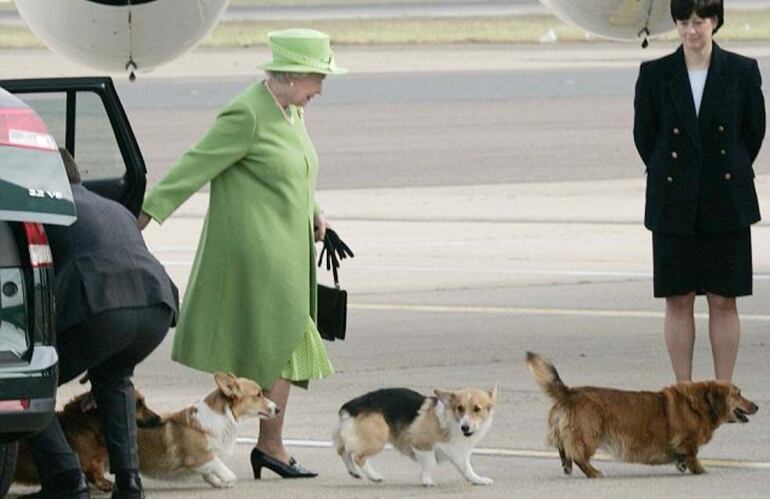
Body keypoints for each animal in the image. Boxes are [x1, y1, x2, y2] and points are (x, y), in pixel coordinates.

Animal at [136, 376, 278, 488]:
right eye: (258, 395)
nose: (278, 409)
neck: (225, 416)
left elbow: (209, 474)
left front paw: (219, 482)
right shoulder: (197, 456)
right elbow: (217, 462)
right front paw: (229, 477)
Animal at [332, 386, 496, 488]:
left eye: (477, 409)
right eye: (460, 408)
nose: (465, 427)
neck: (451, 422)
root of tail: (350, 406)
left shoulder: (459, 454)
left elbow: (467, 469)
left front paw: (478, 480)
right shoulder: (421, 444)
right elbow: (430, 463)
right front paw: (426, 481)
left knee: (344, 451)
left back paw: (354, 472)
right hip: (378, 439)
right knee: (358, 456)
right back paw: (374, 476)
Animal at [520, 350, 756, 478]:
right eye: (738, 394)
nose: (757, 407)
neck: (698, 404)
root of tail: (570, 393)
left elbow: (683, 459)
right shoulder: (688, 444)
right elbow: (693, 458)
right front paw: (701, 470)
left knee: (563, 448)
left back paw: (567, 466)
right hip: (589, 435)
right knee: (578, 455)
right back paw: (594, 473)